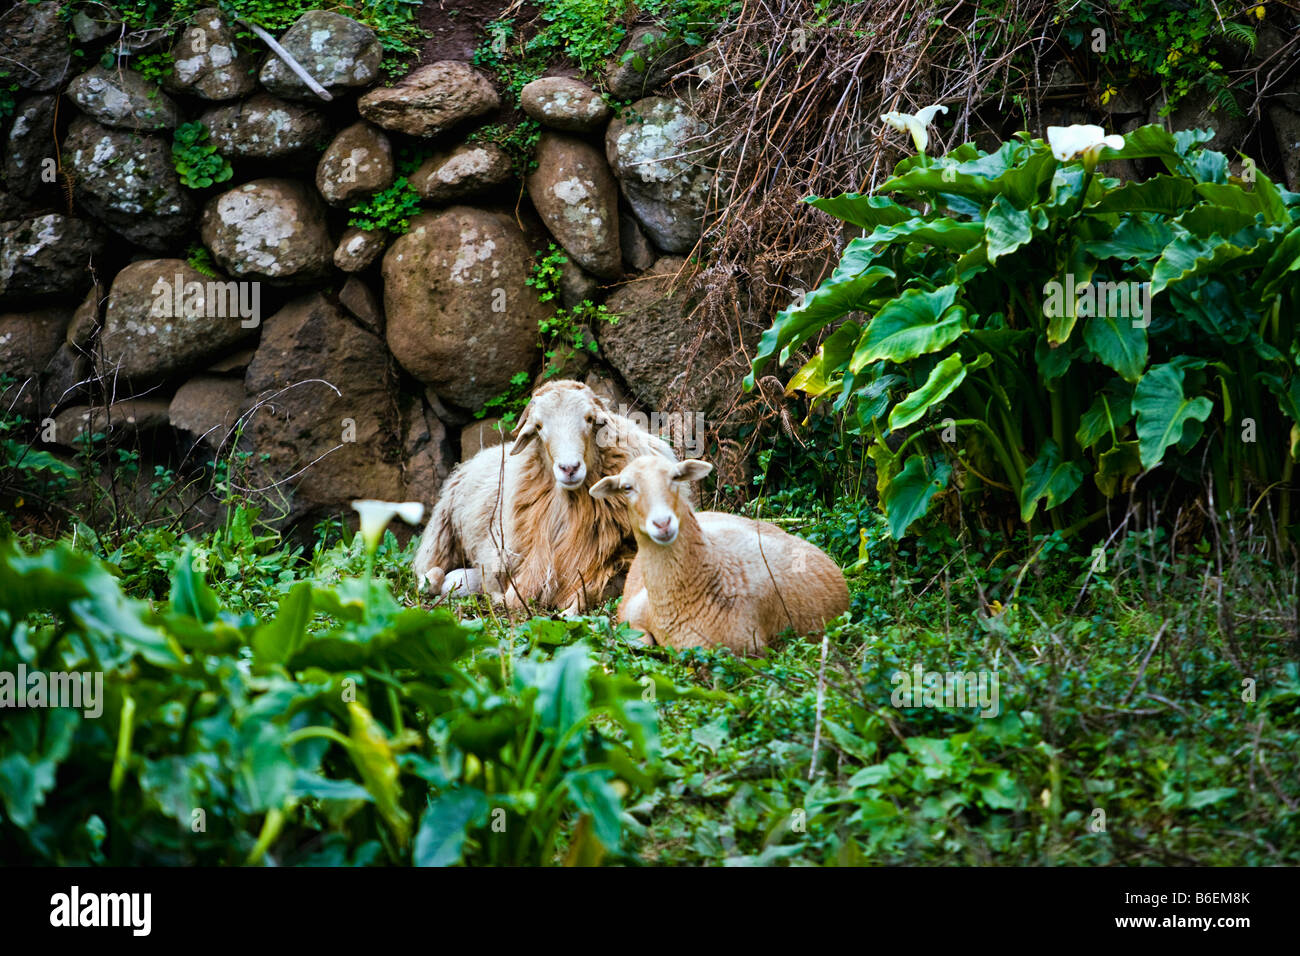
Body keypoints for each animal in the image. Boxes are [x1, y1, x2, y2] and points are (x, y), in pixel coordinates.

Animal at [413, 379, 687, 614]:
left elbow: (596, 590)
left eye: (589, 419)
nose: (569, 468)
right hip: (441, 537)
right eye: (539, 427)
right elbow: (510, 595)